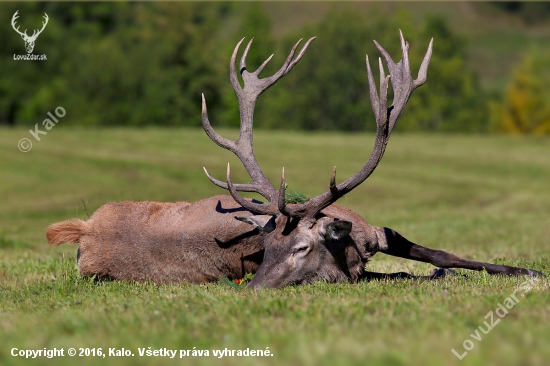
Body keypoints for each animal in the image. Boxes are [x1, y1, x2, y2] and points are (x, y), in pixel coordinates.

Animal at [46, 30, 544, 288]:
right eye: (264, 251)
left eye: (302, 248)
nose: (253, 290)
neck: (355, 245)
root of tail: (84, 229)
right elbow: (407, 272)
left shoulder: (379, 230)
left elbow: (441, 252)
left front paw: (529, 269)